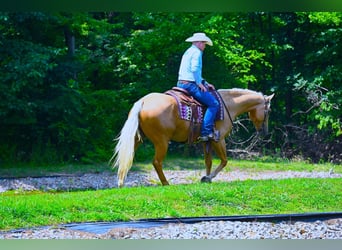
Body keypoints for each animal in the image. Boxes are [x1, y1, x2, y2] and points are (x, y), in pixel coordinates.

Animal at [111, 88, 274, 188]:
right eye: (269, 111)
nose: (264, 132)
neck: (228, 105)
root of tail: (144, 101)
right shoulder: (219, 139)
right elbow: (224, 161)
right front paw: (208, 178)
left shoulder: (207, 141)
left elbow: (208, 161)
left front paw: (206, 178)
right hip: (162, 141)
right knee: (157, 162)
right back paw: (166, 183)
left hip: (137, 139)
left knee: (126, 158)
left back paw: (121, 183)